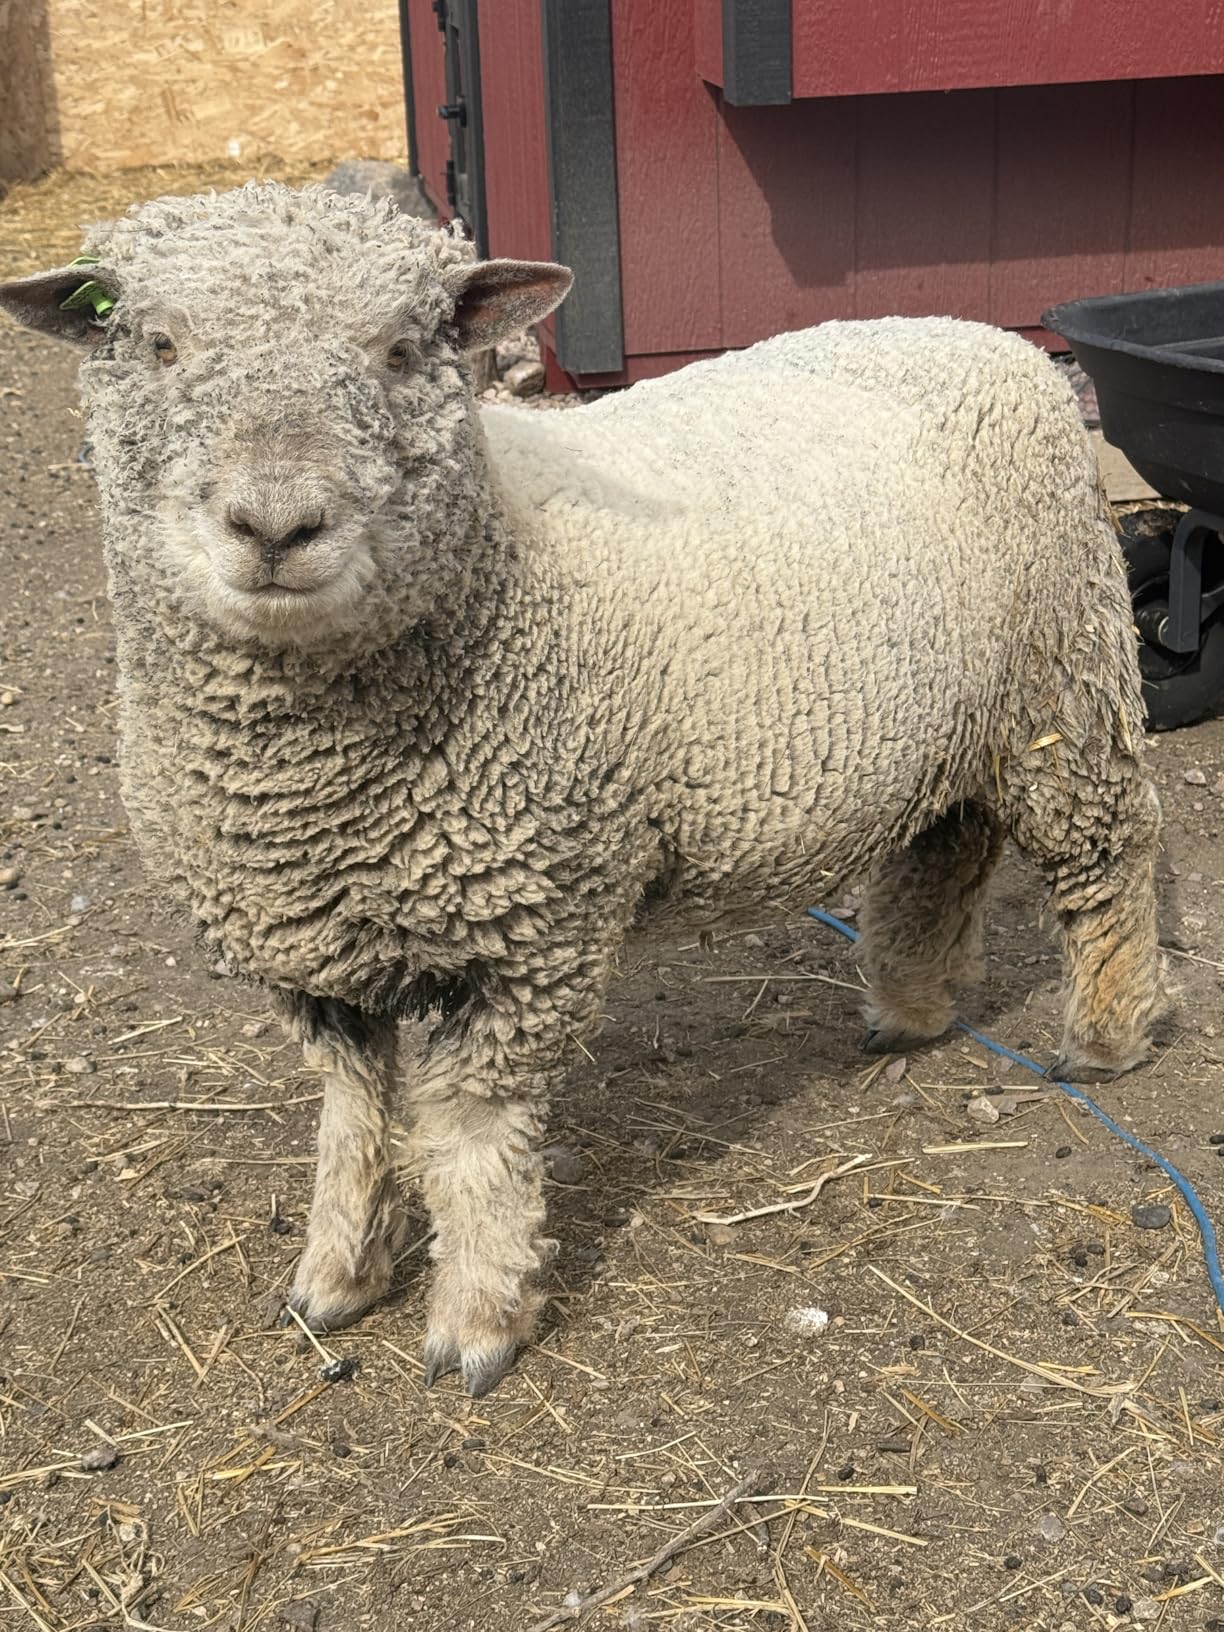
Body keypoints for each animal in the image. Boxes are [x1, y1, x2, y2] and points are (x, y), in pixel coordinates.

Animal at [1, 182, 1165, 1396]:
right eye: (156, 344)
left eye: (404, 347)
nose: (276, 527)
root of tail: (976, 331)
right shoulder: (315, 951)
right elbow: (353, 1120)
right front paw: (337, 1274)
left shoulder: (533, 927)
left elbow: (472, 1143)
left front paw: (478, 1320)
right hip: (949, 720)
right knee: (945, 849)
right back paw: (908, 1009)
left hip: (1068, 677)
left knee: (1109, 856)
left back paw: (1106, 1033)